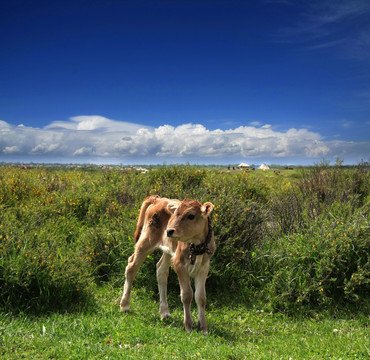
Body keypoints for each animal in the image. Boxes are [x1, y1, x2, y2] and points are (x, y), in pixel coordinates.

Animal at [120, 195, 215, 334]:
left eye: (191, 215)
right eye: (175, 214)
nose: (169, 231)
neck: (197, 246)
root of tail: (158, 199)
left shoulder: (204, 268)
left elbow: (201, 297)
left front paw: (203, 327)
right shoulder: (179, 264)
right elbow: (187, 294)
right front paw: (188, 325)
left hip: (168, 250)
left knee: (160, 271)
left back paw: (164, 312)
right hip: (146, 241)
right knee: (131, 266)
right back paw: (125, 305)